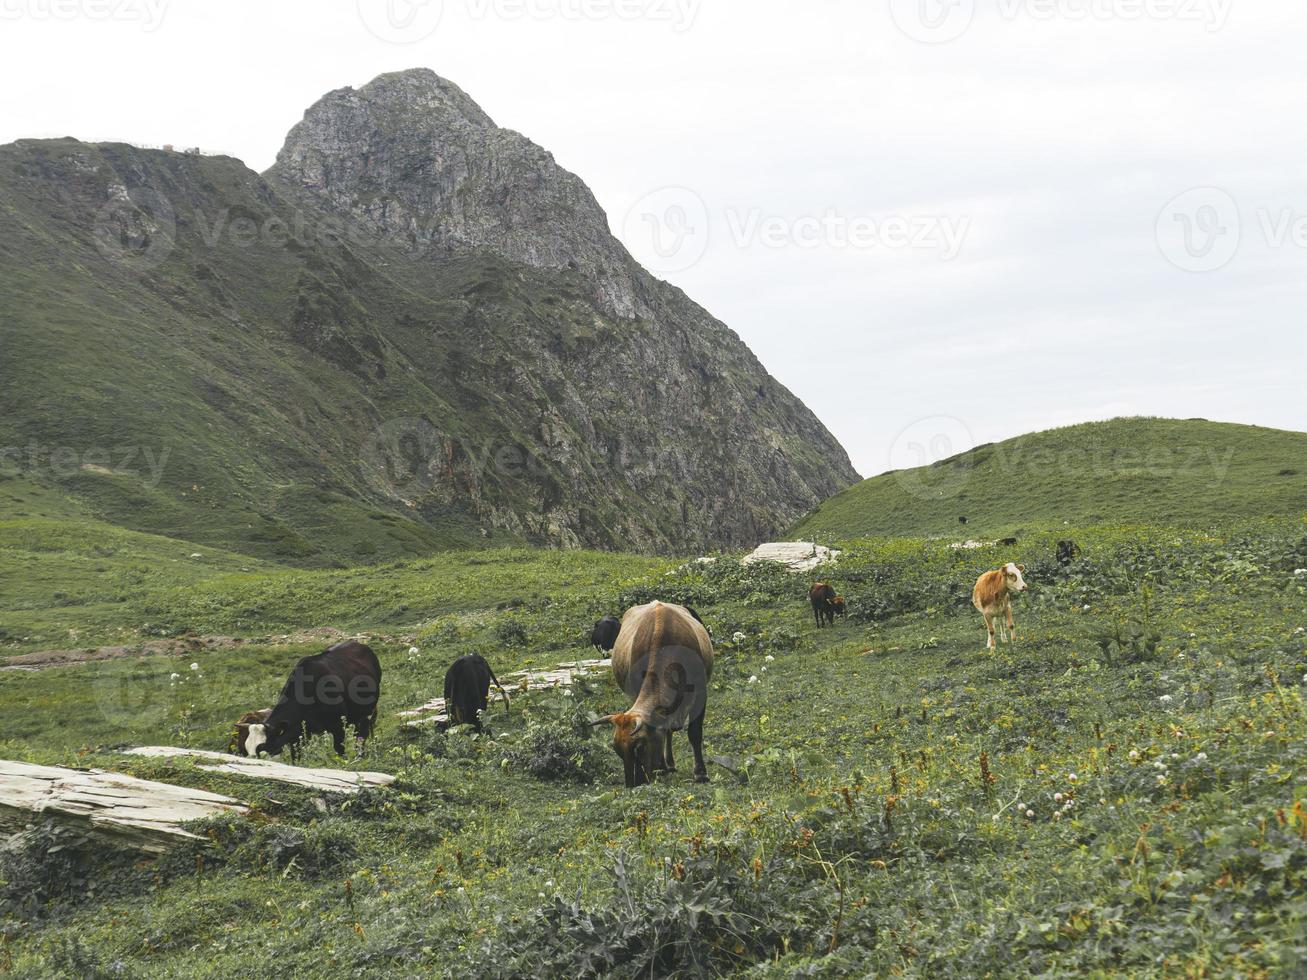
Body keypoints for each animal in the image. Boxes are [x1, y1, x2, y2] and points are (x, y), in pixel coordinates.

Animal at [248, 640, 381, 763]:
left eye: (266, 751)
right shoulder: (298, 733)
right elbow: (296, 756)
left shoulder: (338, 726)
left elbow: (339, 750)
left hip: (367, 711)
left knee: (361, 734)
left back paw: (359, 757)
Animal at [595, 603, 716, 794]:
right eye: (617, 750)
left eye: (640, 748)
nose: (633, 784)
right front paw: (661, 767)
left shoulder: (701, 693)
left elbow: (694, 733)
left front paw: (701, 773)